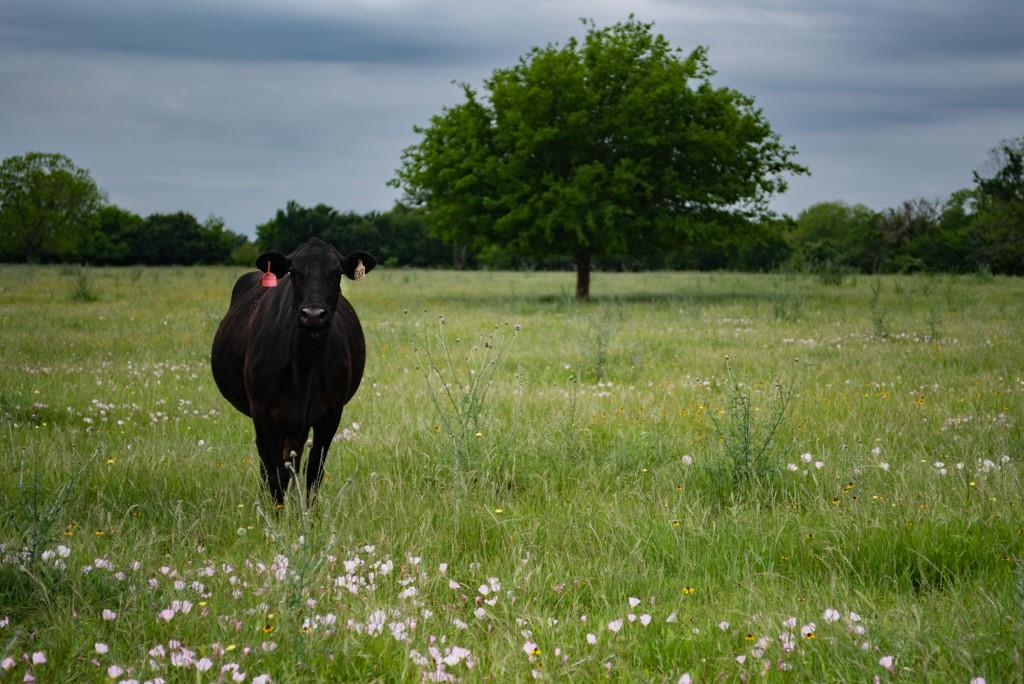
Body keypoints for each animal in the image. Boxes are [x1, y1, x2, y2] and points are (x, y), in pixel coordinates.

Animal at [211, 237, 376, 505]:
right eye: (294, 272)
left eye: (336, 273)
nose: (313, 315)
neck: (304, 366)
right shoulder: (262, 411)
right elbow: (275, 472)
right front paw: (277, 513)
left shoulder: (331, 412)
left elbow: (314, 469)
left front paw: (310, 512)